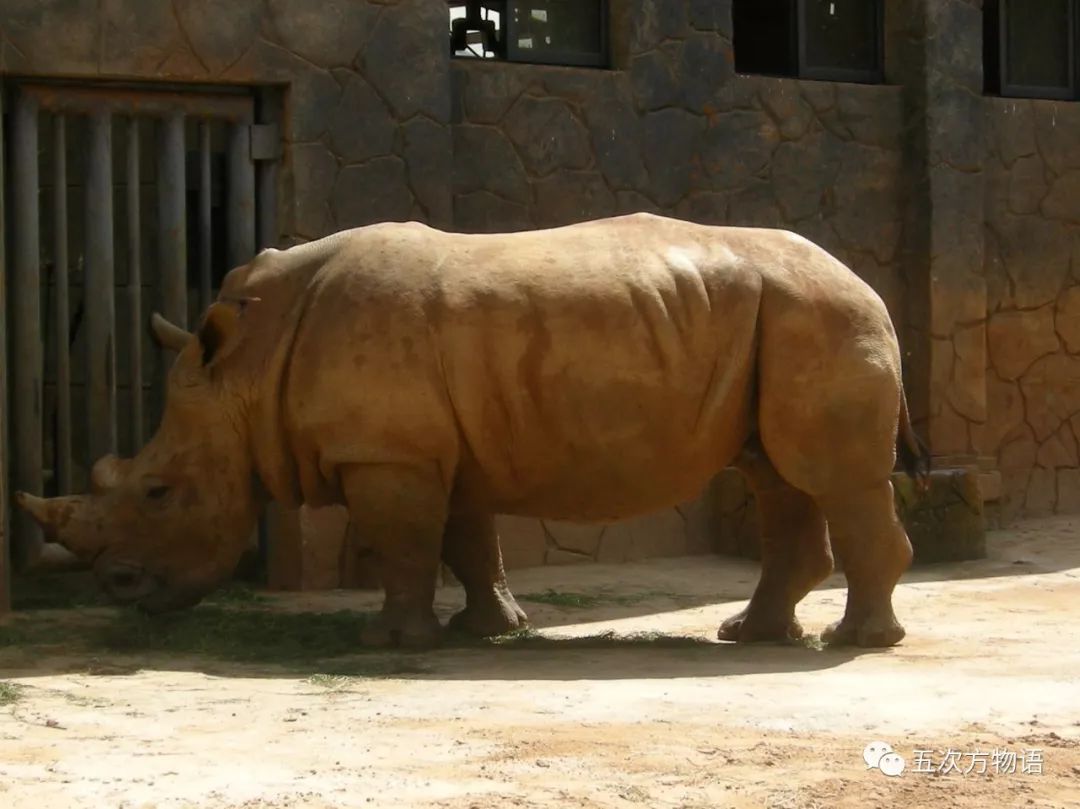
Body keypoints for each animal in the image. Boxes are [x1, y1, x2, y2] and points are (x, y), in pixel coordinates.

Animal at [14, 211, 928, 648]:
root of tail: (870, 286)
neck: (245, 367)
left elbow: (406, 545)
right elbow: (464, 540)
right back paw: (750, 634)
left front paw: (387, 641)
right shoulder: (434, 446)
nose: (120, 592)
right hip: (784, 322)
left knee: (830, 478)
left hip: (821, 317)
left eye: (158, 491)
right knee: (778, 475)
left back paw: (856, 641)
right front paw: (490, 630)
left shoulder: (388, 454)